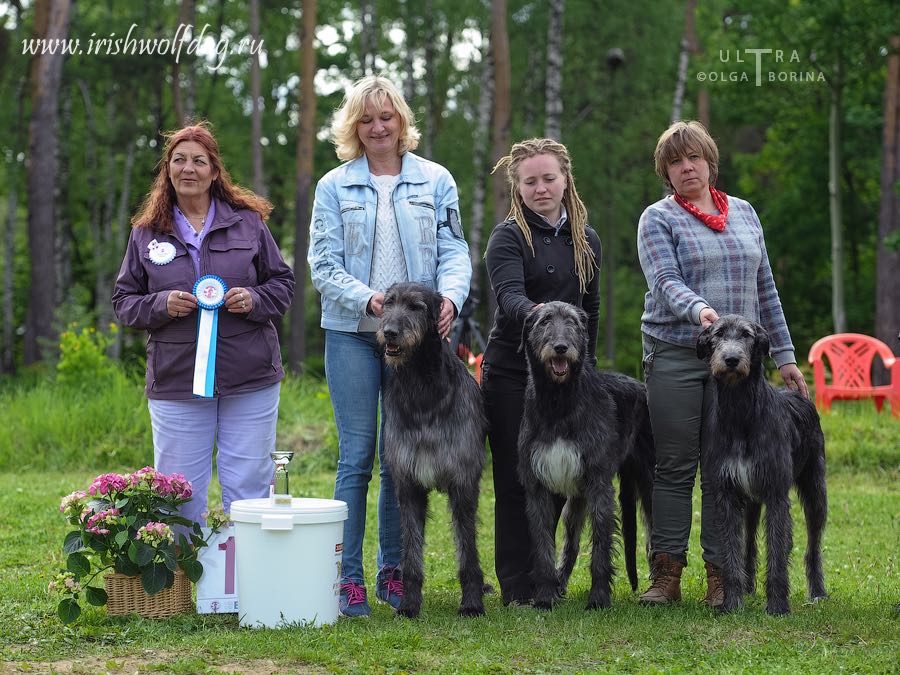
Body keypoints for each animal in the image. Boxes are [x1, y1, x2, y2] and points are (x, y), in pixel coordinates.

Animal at [374, 282, 486, 616]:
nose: (390, 333)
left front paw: (472, 603)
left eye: (416, 307)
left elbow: (467, 547)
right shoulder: (408, 484)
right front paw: (410, 604)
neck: (422, 386)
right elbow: (410, 550)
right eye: (388, 303)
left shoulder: (463, 482)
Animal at [520, 304, 652, 608]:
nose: (561, 347)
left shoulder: (598, 483)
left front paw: (599, 598)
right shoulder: (537, 486)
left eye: (571, 321)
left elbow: (602, 546)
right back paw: (559, 583)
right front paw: (545, 597)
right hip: (575, 502)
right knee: (570, 544)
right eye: (545, 321)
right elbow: (543, 545)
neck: (558, 401)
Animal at [696, 314, 828, 616]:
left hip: (815, 489)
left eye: (747, 334)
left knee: (813, 545)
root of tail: (799, 395)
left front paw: (777, 605)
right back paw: (747, 587)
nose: (731, 359)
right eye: (718, 334)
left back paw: (817, 591)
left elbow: (778, 552)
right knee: (748, 543)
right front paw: (732, 602)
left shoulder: (776, 494)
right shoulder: (727, 494)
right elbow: (732, 551)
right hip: (751, 503)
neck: (740, 411)